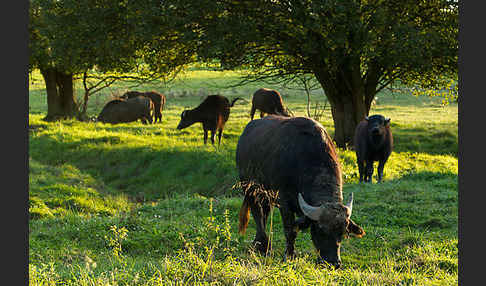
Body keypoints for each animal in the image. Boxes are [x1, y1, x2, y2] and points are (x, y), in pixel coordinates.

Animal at [235, 114, 364, 268]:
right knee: (257, 213)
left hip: (265, 195)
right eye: (321, 229)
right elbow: (290, 230)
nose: (334, 263)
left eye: (343, 232)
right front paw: (289, 255)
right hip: (248, 187)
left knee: (264, 213)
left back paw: (259, 243)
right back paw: (264, 245)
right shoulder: (284, 202)